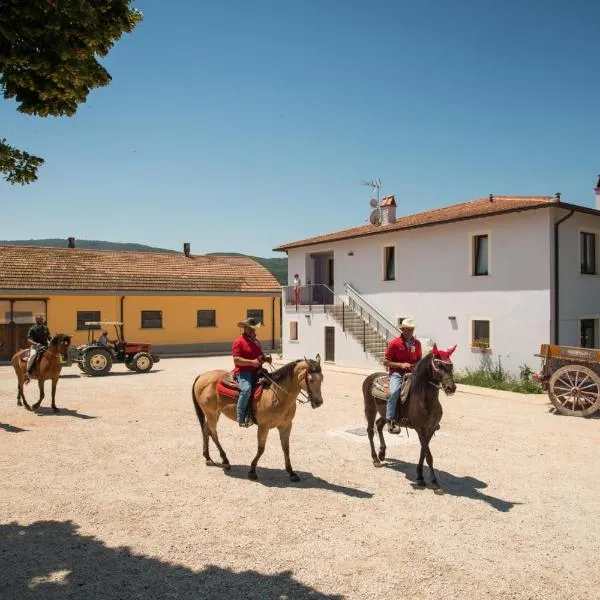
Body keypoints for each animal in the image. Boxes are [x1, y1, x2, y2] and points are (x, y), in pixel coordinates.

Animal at [192, 356, 324, 482]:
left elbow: (286, 448)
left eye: (322, 379)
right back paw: (225, 460)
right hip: (211, 413)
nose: (319, 402)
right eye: (311, 380)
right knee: (213, 433)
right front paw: (252, 471)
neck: (277, 395)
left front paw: (291, 473)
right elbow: (261, 449)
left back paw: (208, 458)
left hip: (215, 413)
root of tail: (202, 376)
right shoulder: (263, 426)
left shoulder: (286, 425)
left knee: (206, 430)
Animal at [364, 344, 458, 490]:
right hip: (370, 409)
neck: (424, 399)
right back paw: (375, 459)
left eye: (451, 365)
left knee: (379, 425)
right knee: (370, 431)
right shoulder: (420, 429)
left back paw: (382, 454)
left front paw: (420, 476)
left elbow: (423, 452)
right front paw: (434, 483)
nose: (451, 388)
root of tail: (370, 377)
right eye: (439, 365)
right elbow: (428, 455)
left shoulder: (430, 429)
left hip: (385, 413)